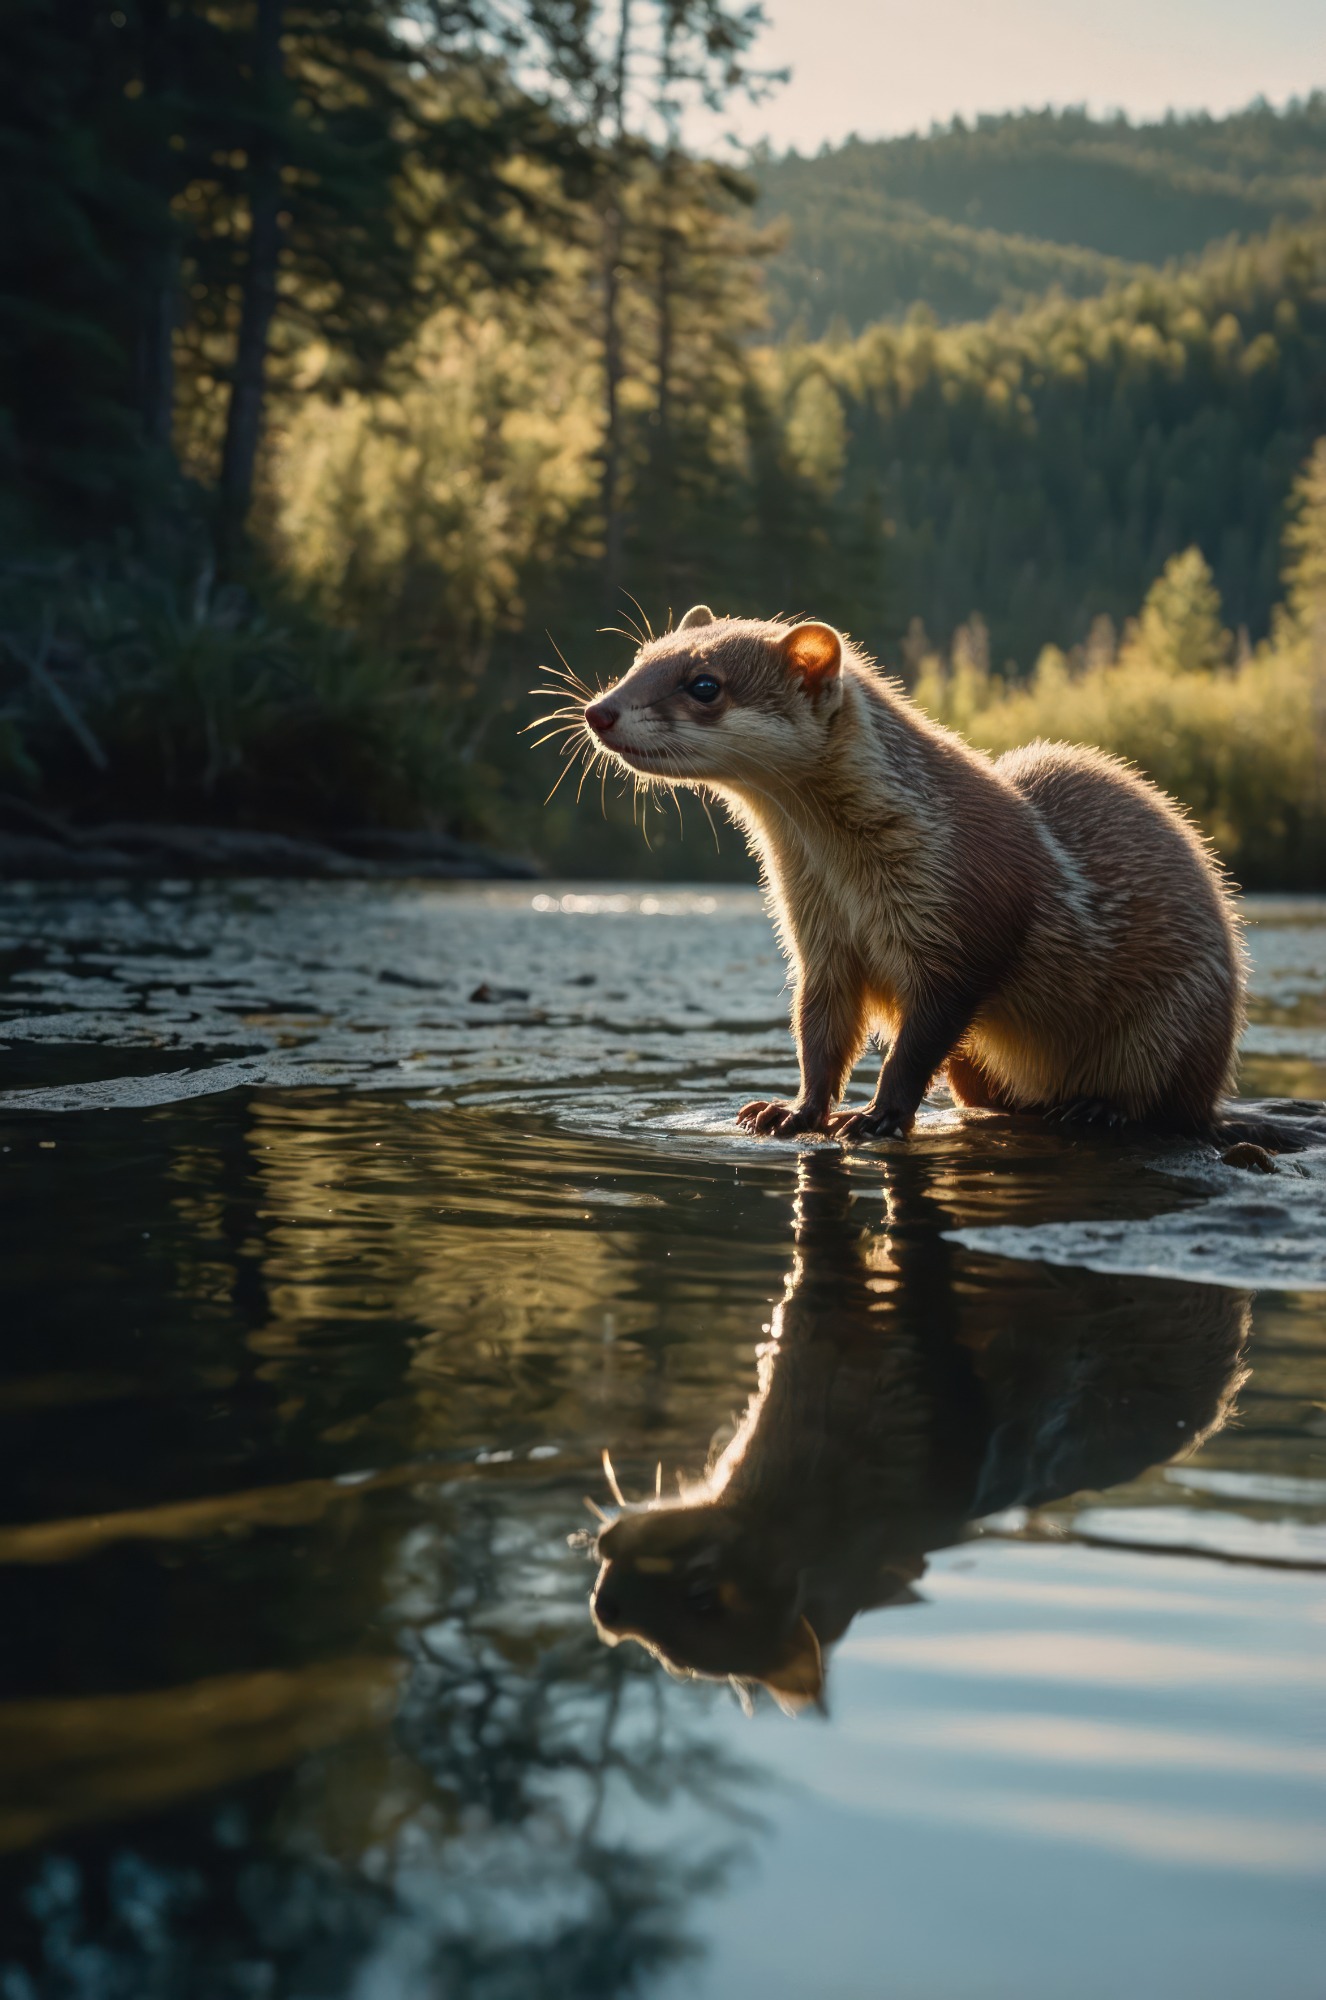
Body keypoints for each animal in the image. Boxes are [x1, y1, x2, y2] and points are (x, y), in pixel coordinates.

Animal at [578, 606, 1245, 1141]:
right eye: (640, 657)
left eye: (705, 684)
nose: (597, 711)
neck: (848, 885)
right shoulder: (819, 941)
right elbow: (819, 1037)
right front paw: (787, 1112)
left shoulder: (960, 927)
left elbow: (916, 1045)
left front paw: (873, 1118)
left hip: (1180, 1019)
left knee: (1164, 1099)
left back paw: (1097, 1108)